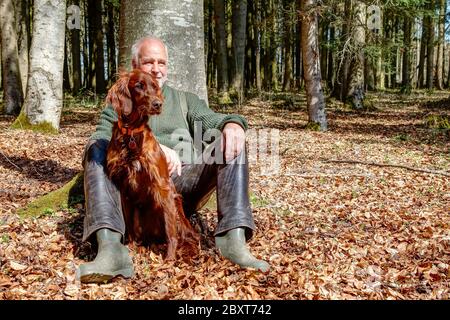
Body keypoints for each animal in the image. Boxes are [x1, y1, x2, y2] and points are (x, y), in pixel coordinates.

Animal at [105, 69, 199, 260]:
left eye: (155, 86)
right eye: (139, 85)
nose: (158, 104)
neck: (132, 134)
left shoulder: (163, 188)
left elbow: (171, 233)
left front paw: (169, 259)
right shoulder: (124, 188)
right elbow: (129, 225)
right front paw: (131, 246)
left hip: (175, 207)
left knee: (187, 236)